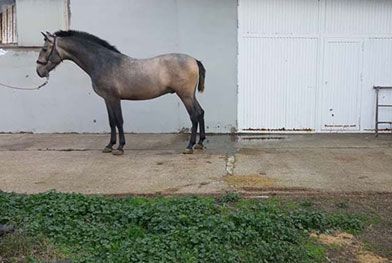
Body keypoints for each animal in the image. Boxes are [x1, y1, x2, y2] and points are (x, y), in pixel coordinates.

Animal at [36, 30, 207, 157]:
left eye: (44, 49)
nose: (39, 71)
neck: (102, 62)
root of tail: (194, 60)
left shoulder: (114, 98)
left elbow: (119, 121)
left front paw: (120, 147)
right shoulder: (107, 99)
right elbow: (112, 121)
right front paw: (109, 146)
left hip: (185, 95)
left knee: (193, 116)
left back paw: (189, 146)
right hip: (191, 95)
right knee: (200, 112)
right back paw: (200, 143)